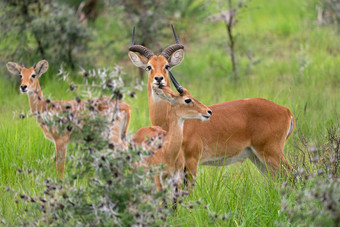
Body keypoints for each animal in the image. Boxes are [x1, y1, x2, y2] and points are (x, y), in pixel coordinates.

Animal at [128, 24, 294, 181]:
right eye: (149, 66)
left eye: (166, 66)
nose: (158, 79)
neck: (167, 120)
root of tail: (286, 111)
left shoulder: (191, 161)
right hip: (258, 158)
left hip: (271, 153)